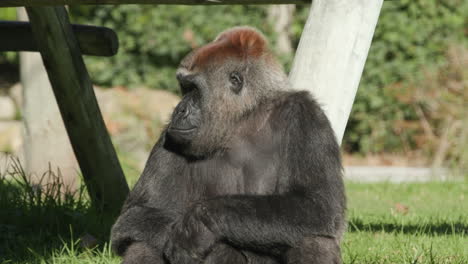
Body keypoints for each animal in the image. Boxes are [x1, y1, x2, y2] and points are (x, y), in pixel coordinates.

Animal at [111, 26, 346, 264]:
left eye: (194, 88)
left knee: (313, 238)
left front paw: (198, 224)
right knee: (143, 242)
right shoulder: (169, 135)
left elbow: (318, 206)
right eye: (184, 88)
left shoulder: (306, 116)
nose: (179, 109)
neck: (242, 119)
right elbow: (135, 215)